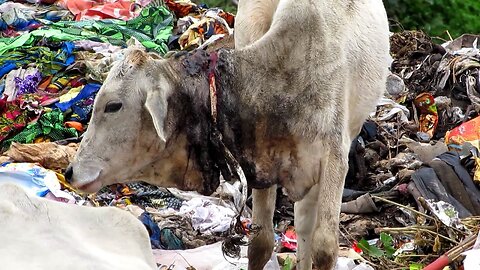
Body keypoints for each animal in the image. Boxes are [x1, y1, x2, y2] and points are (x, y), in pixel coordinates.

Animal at [66, 0, 390, 268]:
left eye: (113, 106)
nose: (70, 172)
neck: (282, 80)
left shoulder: (335, 159)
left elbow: (324, 248)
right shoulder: (258, 155)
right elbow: (260, 244)